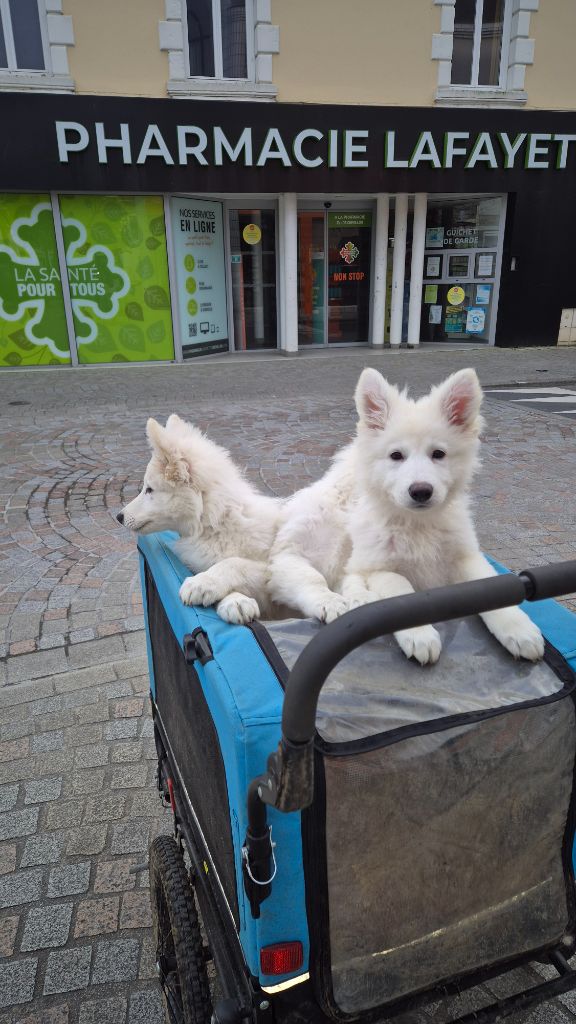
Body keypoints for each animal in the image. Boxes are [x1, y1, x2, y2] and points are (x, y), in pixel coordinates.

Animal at [116, 413, 280, 622]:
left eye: (149, 489)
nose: (119, 517)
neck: (214, 523)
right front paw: (235, 600)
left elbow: (234, 562)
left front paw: (203, 582)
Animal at [266, 364, 541, 667]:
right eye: (396, 455)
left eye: (438, 454)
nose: (421, 491)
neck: (416, 524)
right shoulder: (379, 567)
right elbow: (401, 593)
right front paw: (420, 635)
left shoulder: (464, 556)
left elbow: (490, 588)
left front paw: (519, 630)